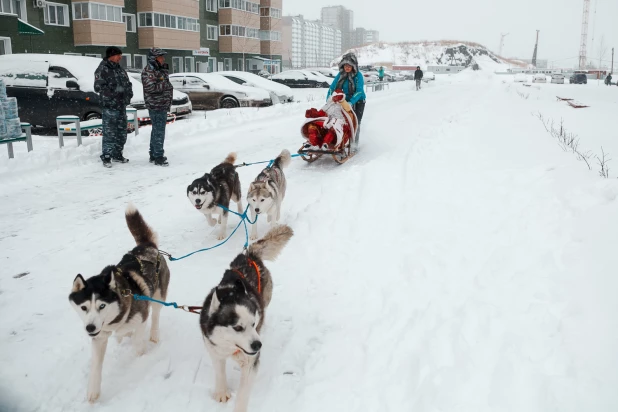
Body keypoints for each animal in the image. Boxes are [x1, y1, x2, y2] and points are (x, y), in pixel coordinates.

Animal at [68, 204, 168, 404]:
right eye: (84, 307)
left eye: (102, 306)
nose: (90, 328)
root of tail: (146, 246)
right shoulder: (99, 336)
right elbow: (96, 365)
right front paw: (93, 391)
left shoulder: (141, 318)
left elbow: (138, 343)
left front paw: (140, 357)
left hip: (159, 296)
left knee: (156, 314)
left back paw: (153, 334)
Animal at [199, 225, 292, 412]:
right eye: (237, 327)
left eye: (253, 324)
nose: (258, 345)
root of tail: (247, 256)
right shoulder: (214, 350)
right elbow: (219, 372)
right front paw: (221, 392)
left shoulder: (250, 362)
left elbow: (243, 393)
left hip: (266, 298)